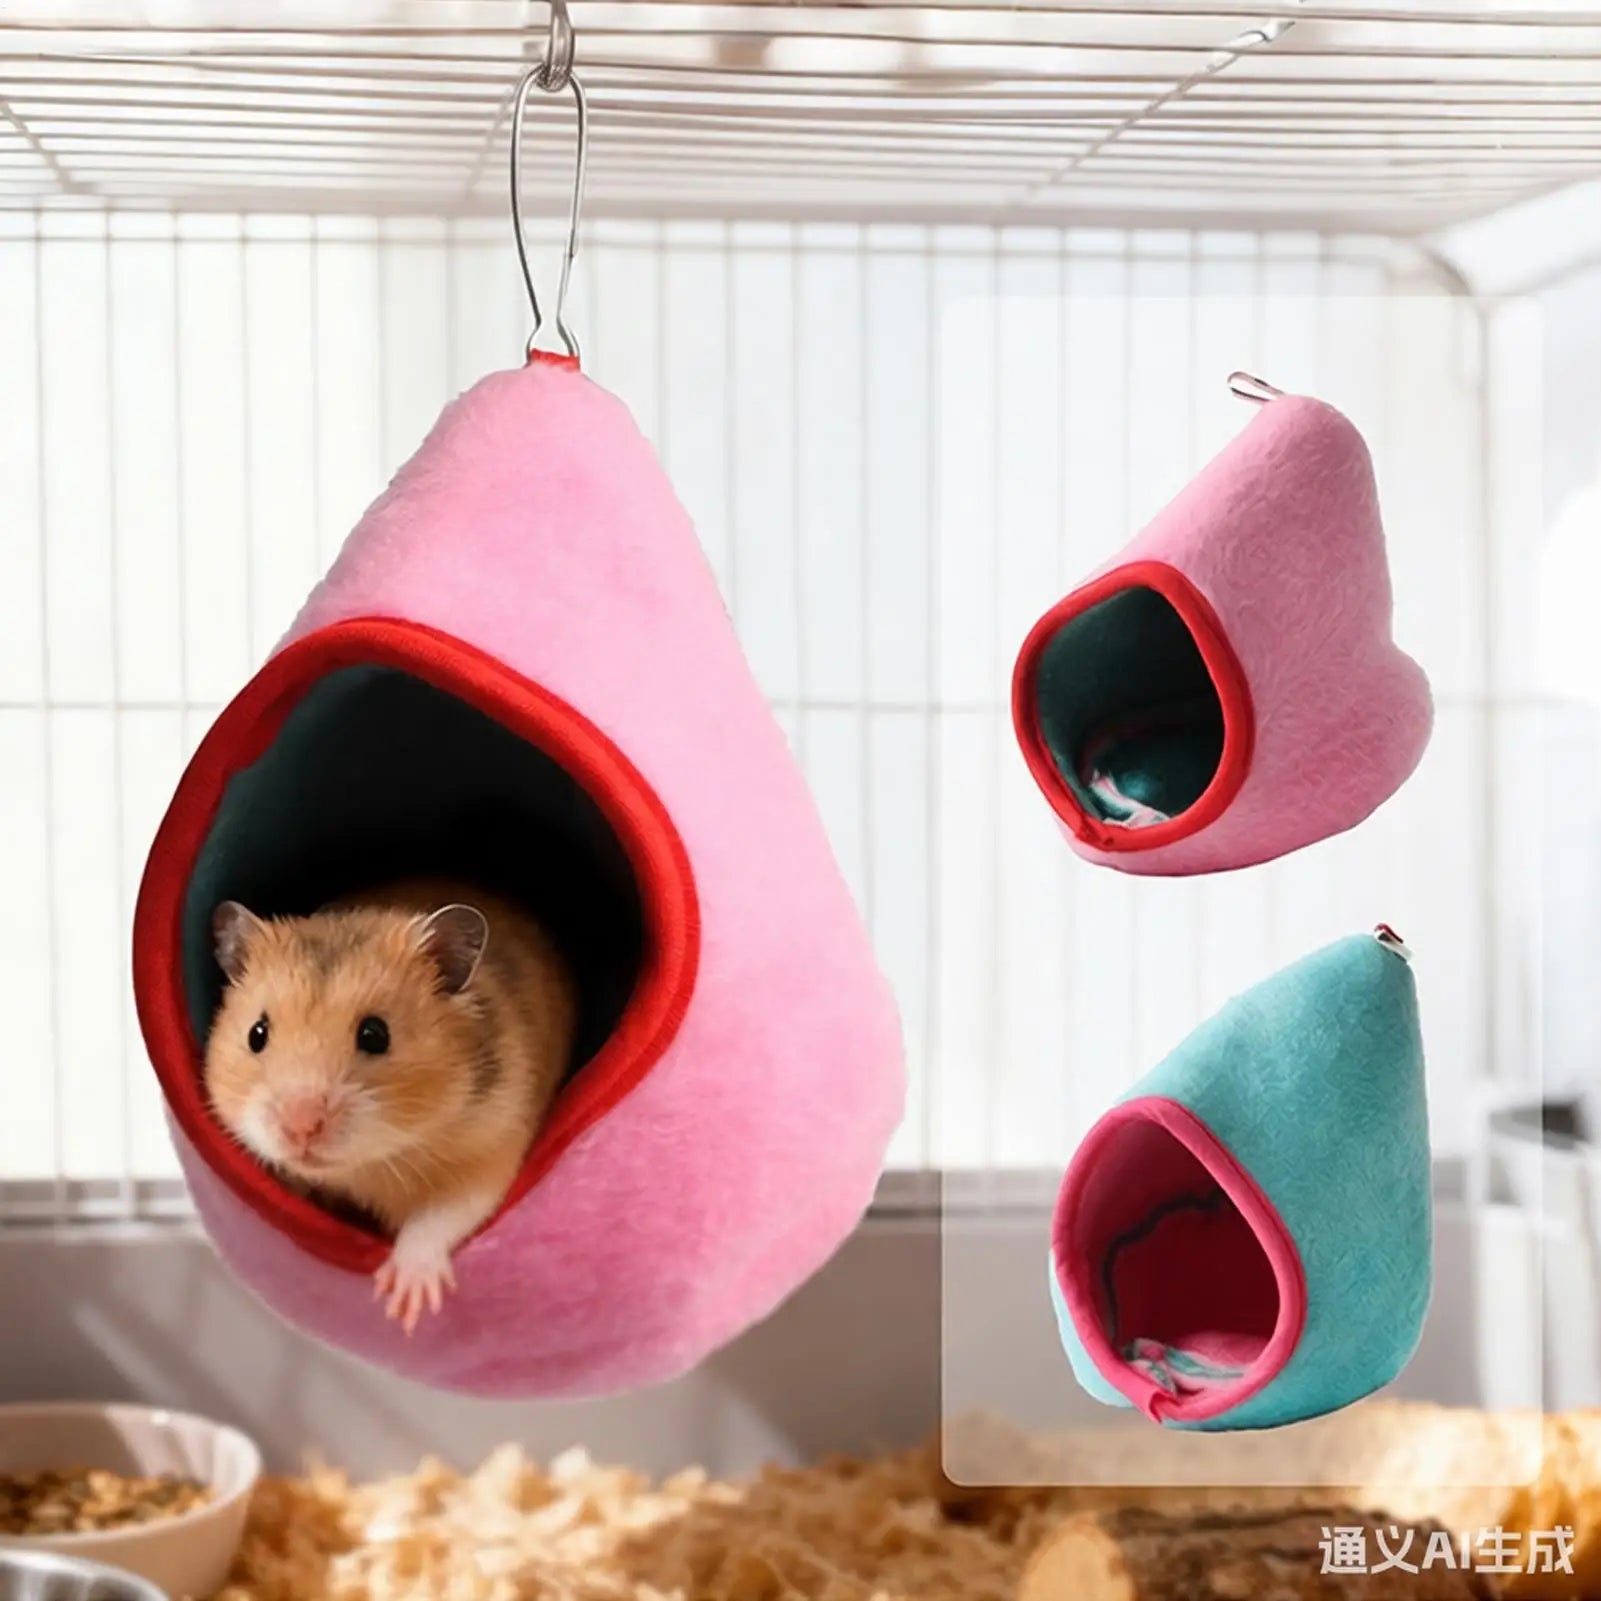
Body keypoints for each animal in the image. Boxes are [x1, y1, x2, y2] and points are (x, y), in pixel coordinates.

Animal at [204, 877, 578, 1333]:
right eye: (257, 1034)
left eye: (375, 1034)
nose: (301, 1127)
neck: (366, 1165)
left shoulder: (487, 1150)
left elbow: (438, 1217)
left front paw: (405, 1305)